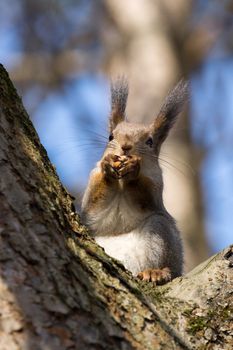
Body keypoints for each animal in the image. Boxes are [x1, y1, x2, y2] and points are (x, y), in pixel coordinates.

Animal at [81, 77, 188, 284]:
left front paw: (133, 170)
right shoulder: (91, 193)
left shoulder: (156, 187)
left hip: (160, 232)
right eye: (111, 136)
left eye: (150, 141)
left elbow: (144, 196)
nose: (125, 147)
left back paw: (157, 272)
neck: (120, 184)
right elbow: (93, 203)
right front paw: (107, 167)